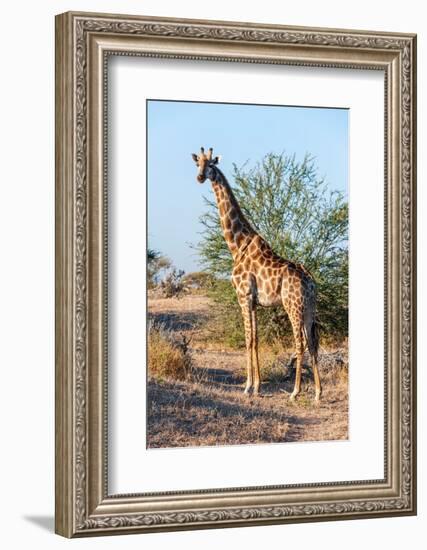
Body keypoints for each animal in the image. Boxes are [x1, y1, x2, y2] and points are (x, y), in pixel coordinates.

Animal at [192, 149, 322, 404]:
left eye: (211, 164)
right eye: (197, 163)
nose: (200, 177)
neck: (237, 245)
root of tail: (310, 282)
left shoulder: (242, 296)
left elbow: (248, 338)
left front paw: (248, 387)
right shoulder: (253, 301)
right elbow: (255, 338)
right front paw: (257, 386)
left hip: (293, 305)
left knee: (300, 343)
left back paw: (295, 392)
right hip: (310, 307)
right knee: (312, 342)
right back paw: (318, 393)